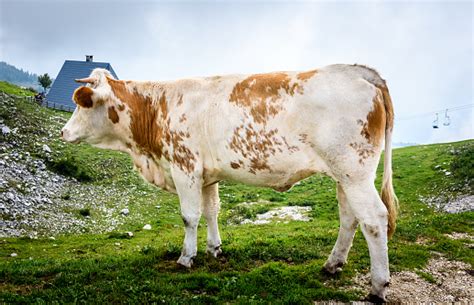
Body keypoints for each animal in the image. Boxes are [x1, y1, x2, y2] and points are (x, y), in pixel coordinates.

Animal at [62, 64, 396, 302]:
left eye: (82, 104)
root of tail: (357, 70)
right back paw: (332, 264)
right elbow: (211, 211)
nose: (64, 132)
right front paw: (215, 249)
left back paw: (378, 285)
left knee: (374, 219)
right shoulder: (207, 176)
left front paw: (186, 257)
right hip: (345, 176)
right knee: (349, 217)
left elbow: (190, 216)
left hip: (354, 172)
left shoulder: (185, 167)